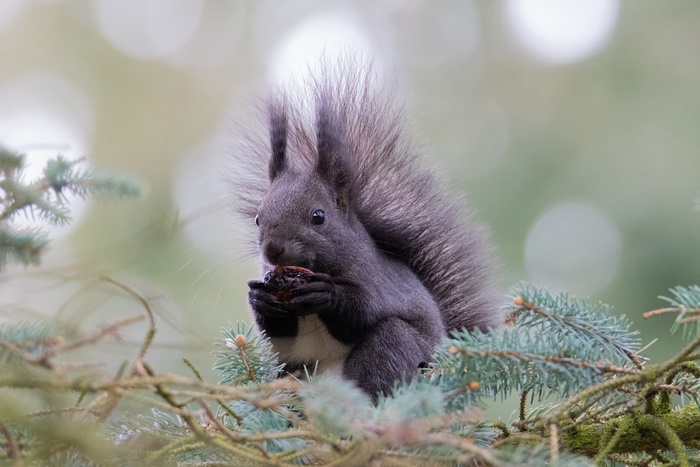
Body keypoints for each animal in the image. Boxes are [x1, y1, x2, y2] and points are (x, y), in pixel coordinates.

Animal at [233, 59, 500, 400]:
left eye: (318, 216)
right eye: (258, 218)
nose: (272, 249)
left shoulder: (375, 281)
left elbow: (361, 313)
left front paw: (327, 293)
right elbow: (280, 336)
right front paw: (260, 299)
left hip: (395, 346)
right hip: (293, 372)